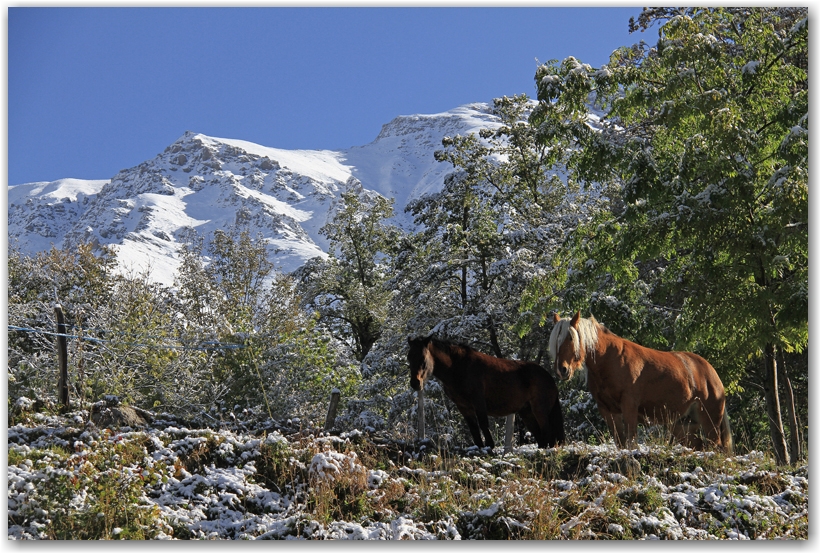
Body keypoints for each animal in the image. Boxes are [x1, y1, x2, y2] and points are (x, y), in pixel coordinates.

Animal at [408, 336, 564, 448]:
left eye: (423, 359)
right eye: (409, 358)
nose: (415, 383)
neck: (458, 368)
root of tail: (549, 378)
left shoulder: (478, 402)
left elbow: (483, 424)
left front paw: (490, 446)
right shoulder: (464, 407)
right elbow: (474, 429)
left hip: (540, 411)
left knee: (547, 434)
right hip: (527, 413)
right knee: (541, 437)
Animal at [552, 310, 732, 452]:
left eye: (570, 338)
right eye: (556, 341)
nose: (562, 370)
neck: (610, 360)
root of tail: (711, 373)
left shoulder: (629, 406)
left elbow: (631, 441)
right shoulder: (607, 410)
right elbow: (620, 442)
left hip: (709, 420)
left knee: (715, 446)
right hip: (683, 425)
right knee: (699, 445)